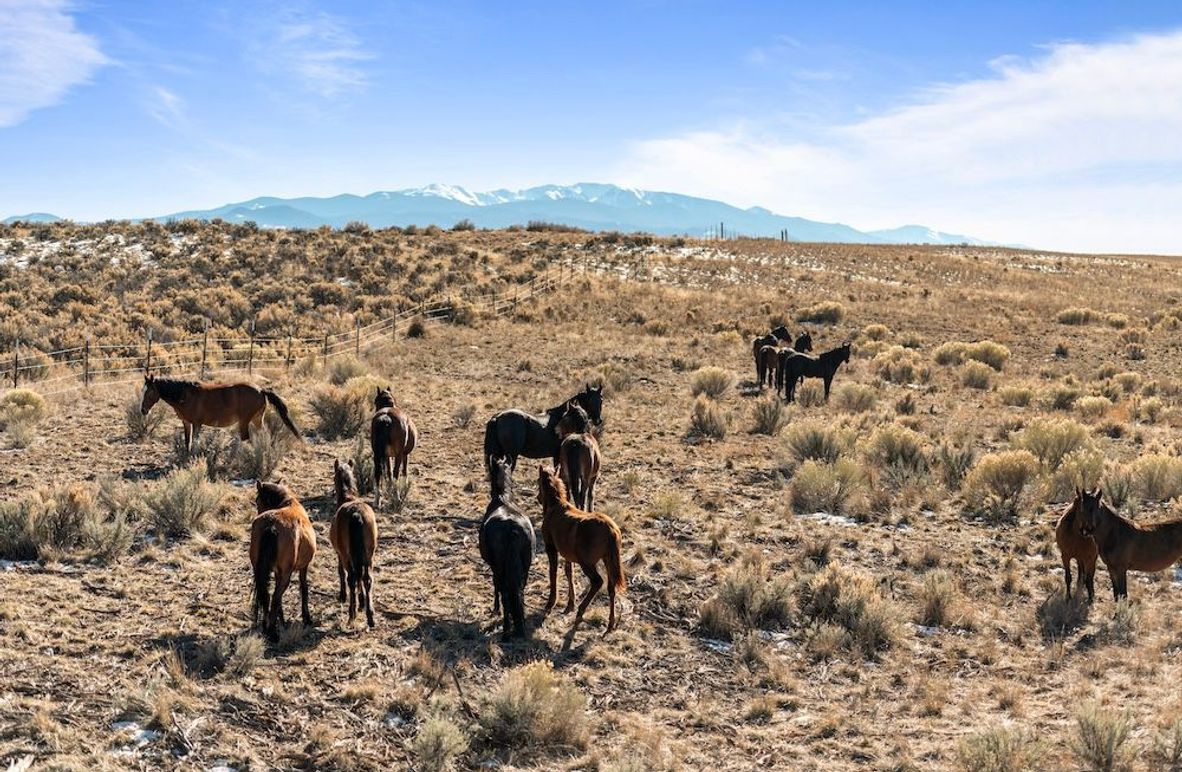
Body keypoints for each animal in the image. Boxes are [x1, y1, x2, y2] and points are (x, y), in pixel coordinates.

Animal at [141, 373, 302, 451]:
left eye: (150, 392)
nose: (143, 410)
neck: (185, 395)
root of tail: (261, 390)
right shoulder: (187, 423)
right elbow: (188, 441)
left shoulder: (197, 423)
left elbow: (195, 441)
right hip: (257, 419)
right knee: (263, 434)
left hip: (244, 421)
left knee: (245, 438)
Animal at [249, 482, 316, 638]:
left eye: (257, 501)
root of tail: (272, 525)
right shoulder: (303, 567)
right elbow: (304, 588)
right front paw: (306, 618)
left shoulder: (276, 572)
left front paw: (283, 620)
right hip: (287, 574)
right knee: (274, 597)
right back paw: (272, 632)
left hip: (259, 569)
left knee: (266, 596)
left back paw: (266, 625)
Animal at [330, 458, 375, 624]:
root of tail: (356, 514)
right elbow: (361, 576)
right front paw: (362, 603)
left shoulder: (339, 553)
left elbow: (341, 572)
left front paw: (343, 596)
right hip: (369, 555)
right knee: (366, 578)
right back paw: (370, 616)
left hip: (346, 555)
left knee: (352, 578)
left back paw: (351, 613)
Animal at [479, 453, 536, 633]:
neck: (503, 499)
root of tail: (511, 528)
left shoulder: (494, 567)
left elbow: (495, 585)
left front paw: (495, 609)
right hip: (525, 567)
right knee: (519, 591)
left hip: (500, 567)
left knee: (505, 593)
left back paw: (506, 630)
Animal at [538, 463, 628, 633]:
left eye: (537, 482)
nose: (538, 498)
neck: (556, 507)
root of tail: (611, 531)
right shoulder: (567, 554)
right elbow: (569, 572)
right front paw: (569, 603)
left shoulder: (551, 548)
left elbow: (553, 573)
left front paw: (550, 603)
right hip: (608, 560)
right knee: (611, 587)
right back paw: (610, 622)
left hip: (587, 563)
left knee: (597, 582)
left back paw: (580, 612)